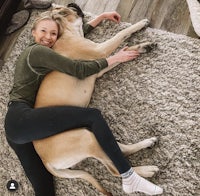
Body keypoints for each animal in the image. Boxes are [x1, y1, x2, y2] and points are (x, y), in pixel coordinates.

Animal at [33, 3, 160, 196]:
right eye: (68, 7)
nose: (74, 5)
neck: (66, 32)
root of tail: (45, 161)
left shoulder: (100, 66)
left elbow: (122, 52)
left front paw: (141, 47)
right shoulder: (100, 51)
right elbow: (121, 34)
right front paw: (139, 26)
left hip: (89, 133)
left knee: (119, 149)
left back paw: (147, 144)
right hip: (86, 139)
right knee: (114, 170)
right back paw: (146, 171)